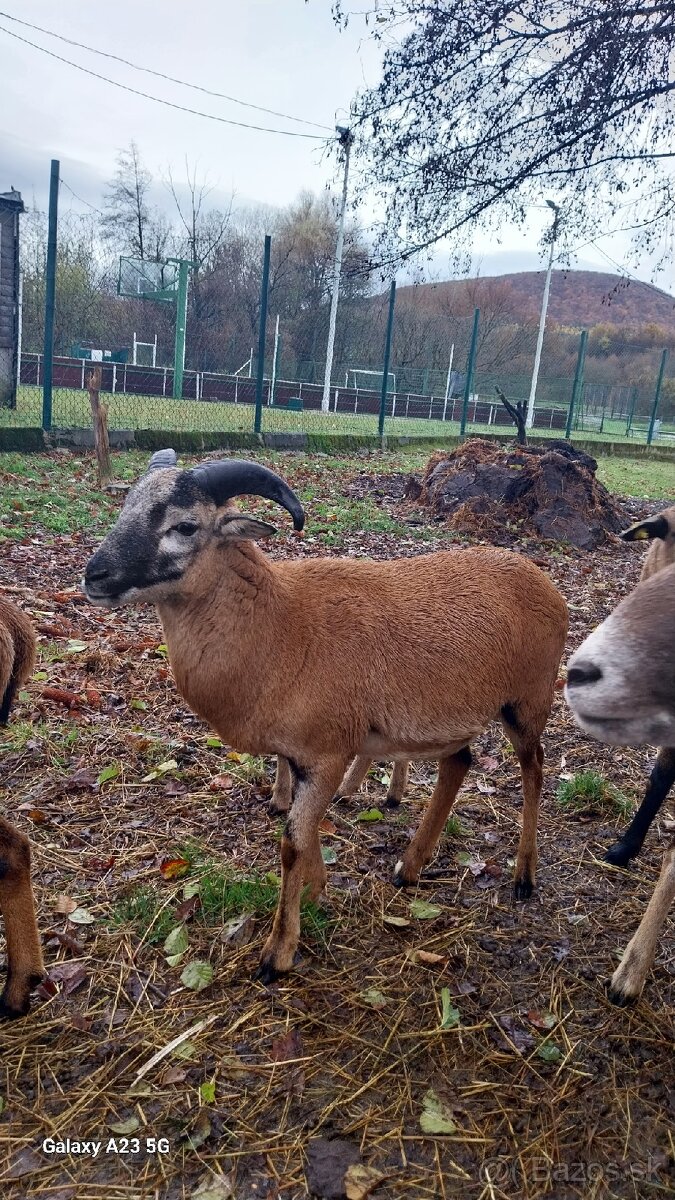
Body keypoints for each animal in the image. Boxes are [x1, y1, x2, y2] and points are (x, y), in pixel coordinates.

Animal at [84, 453, 566, 979]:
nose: (94, 576)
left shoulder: (329, 753)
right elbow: (306, 834)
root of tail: (542, 579)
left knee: (534, 770)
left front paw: (277, 953)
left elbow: (292, 843)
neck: (279, 627)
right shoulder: (301, 758)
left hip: (527, 704)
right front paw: (316, 892)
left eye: (185, 526)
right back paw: (409, 868)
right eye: (126, 506)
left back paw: (523, 877)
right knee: (458, 765)